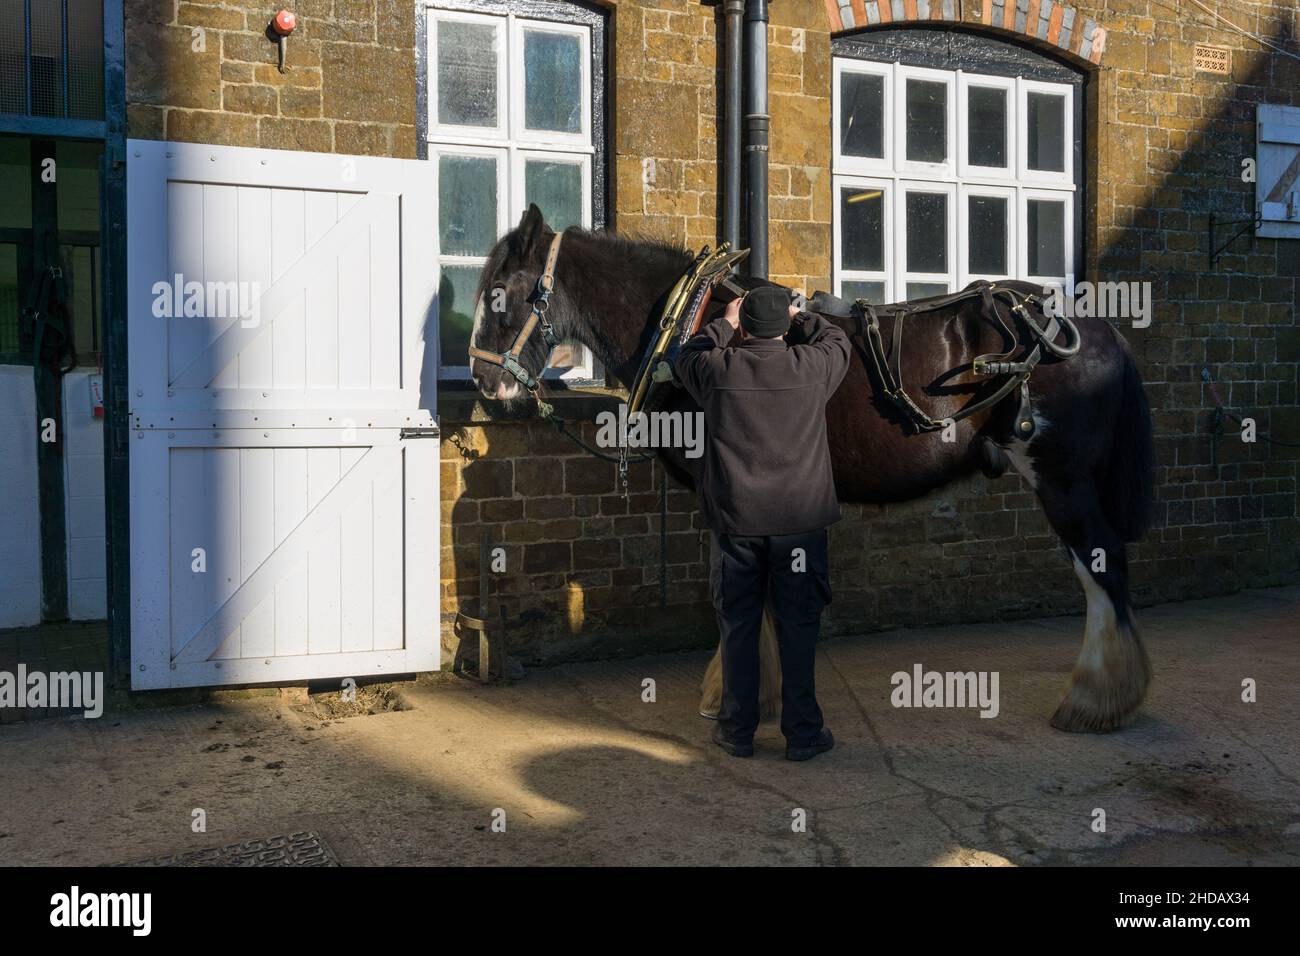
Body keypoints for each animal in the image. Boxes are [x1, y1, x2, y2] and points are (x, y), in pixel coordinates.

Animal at [470, 205, 1159, 738]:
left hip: (1062, 479)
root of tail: (1087, 326)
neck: (686, 329)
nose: (482, 383)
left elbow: (740, 594)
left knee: (1101, 569)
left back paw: (1095, 699)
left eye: (502, 297)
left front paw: (734, 693)